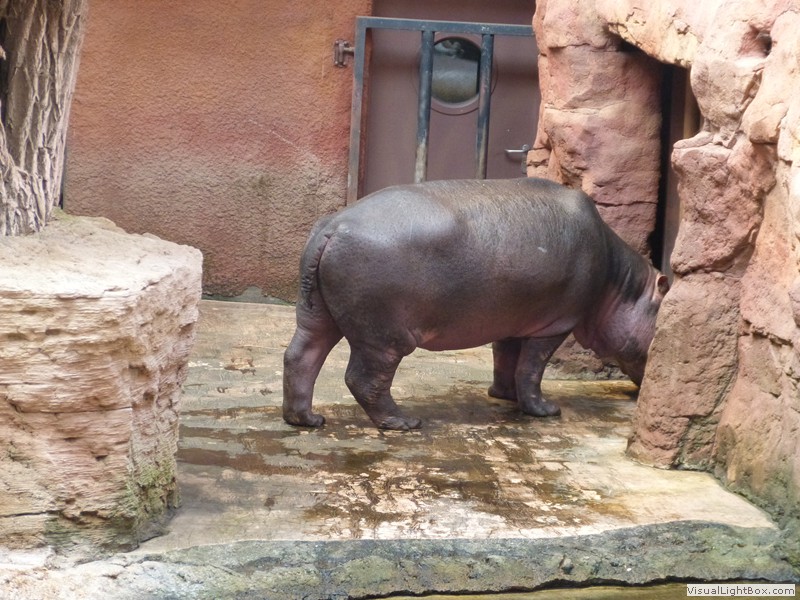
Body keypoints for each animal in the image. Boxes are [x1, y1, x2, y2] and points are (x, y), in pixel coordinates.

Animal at [283, 177, 669, 430]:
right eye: (663, 316)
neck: (621, 283)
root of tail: (332, 227)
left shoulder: (514, 322)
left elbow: (506, 359)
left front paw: (503, 396)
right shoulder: (555, 324)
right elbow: (532, 369)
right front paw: (545, 410)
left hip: (316, 315)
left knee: (300, 357)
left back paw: (307, 420)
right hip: (384, 337)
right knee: (363, 379)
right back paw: (404, 422)